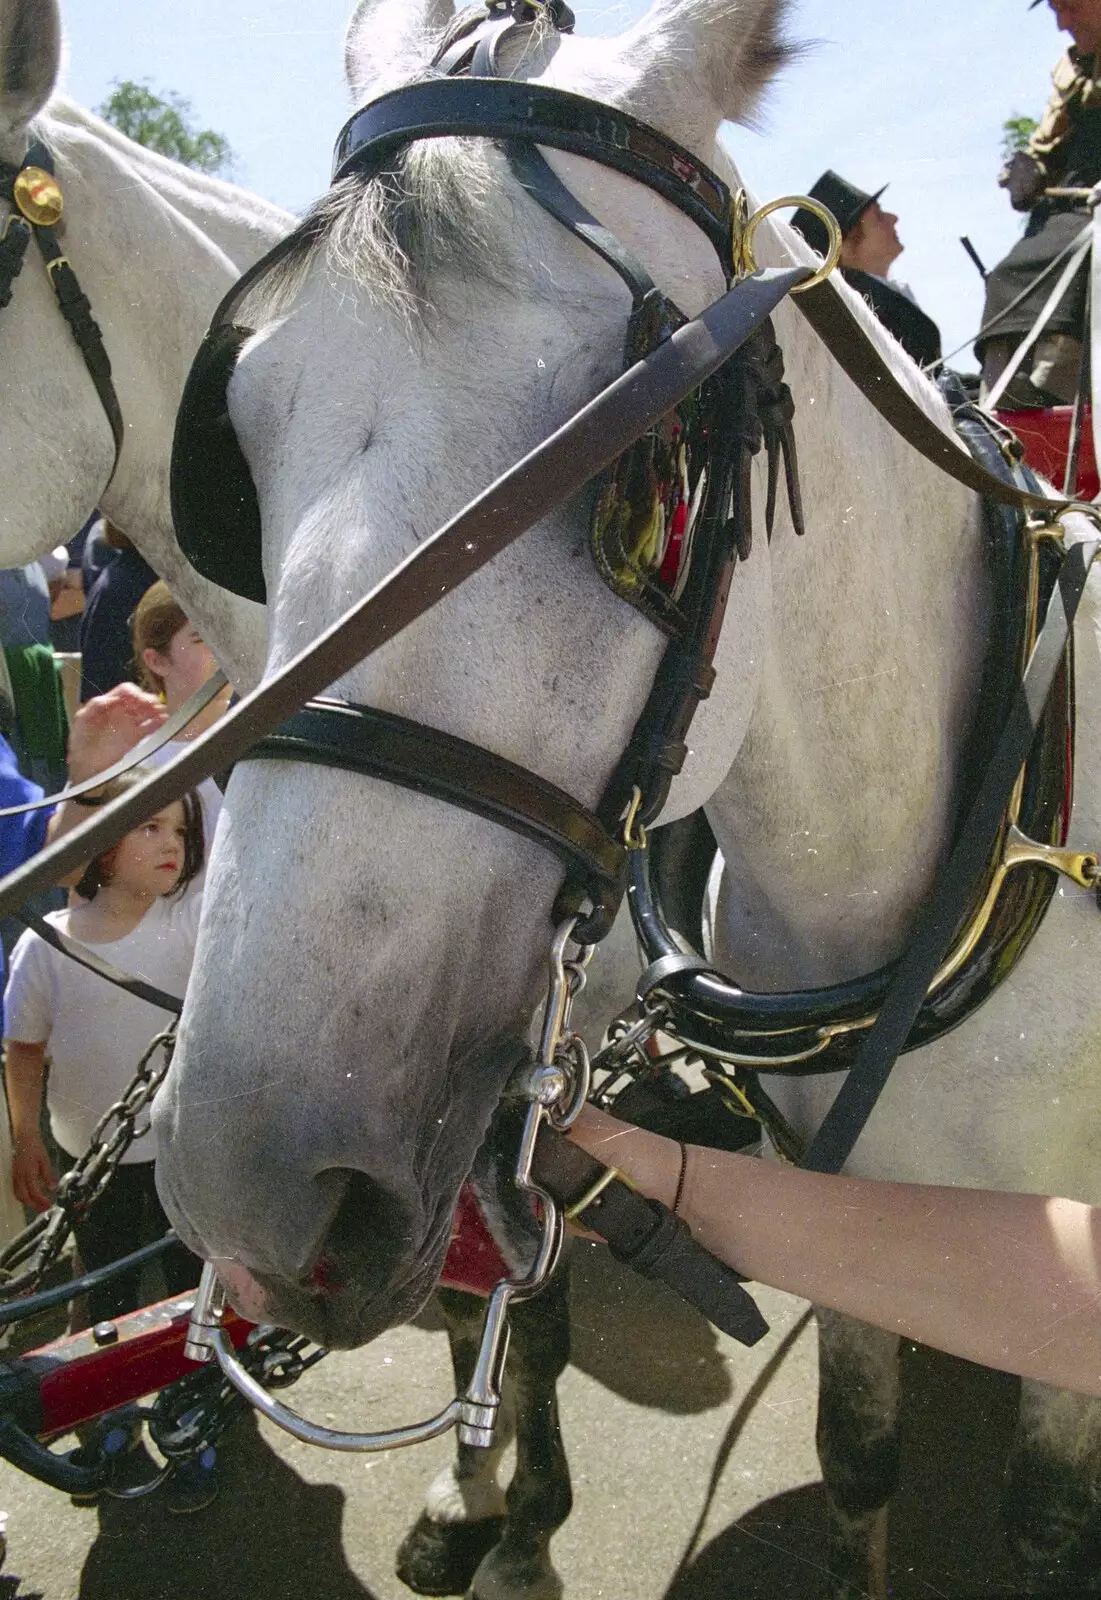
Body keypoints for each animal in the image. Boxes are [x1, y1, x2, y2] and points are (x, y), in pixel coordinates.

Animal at [120, 0, 1101, 1593]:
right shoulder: (853, 1209)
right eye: (243, 435)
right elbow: (854, 1451)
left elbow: (1050, 1520)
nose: (244, 1185)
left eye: (647, 467)